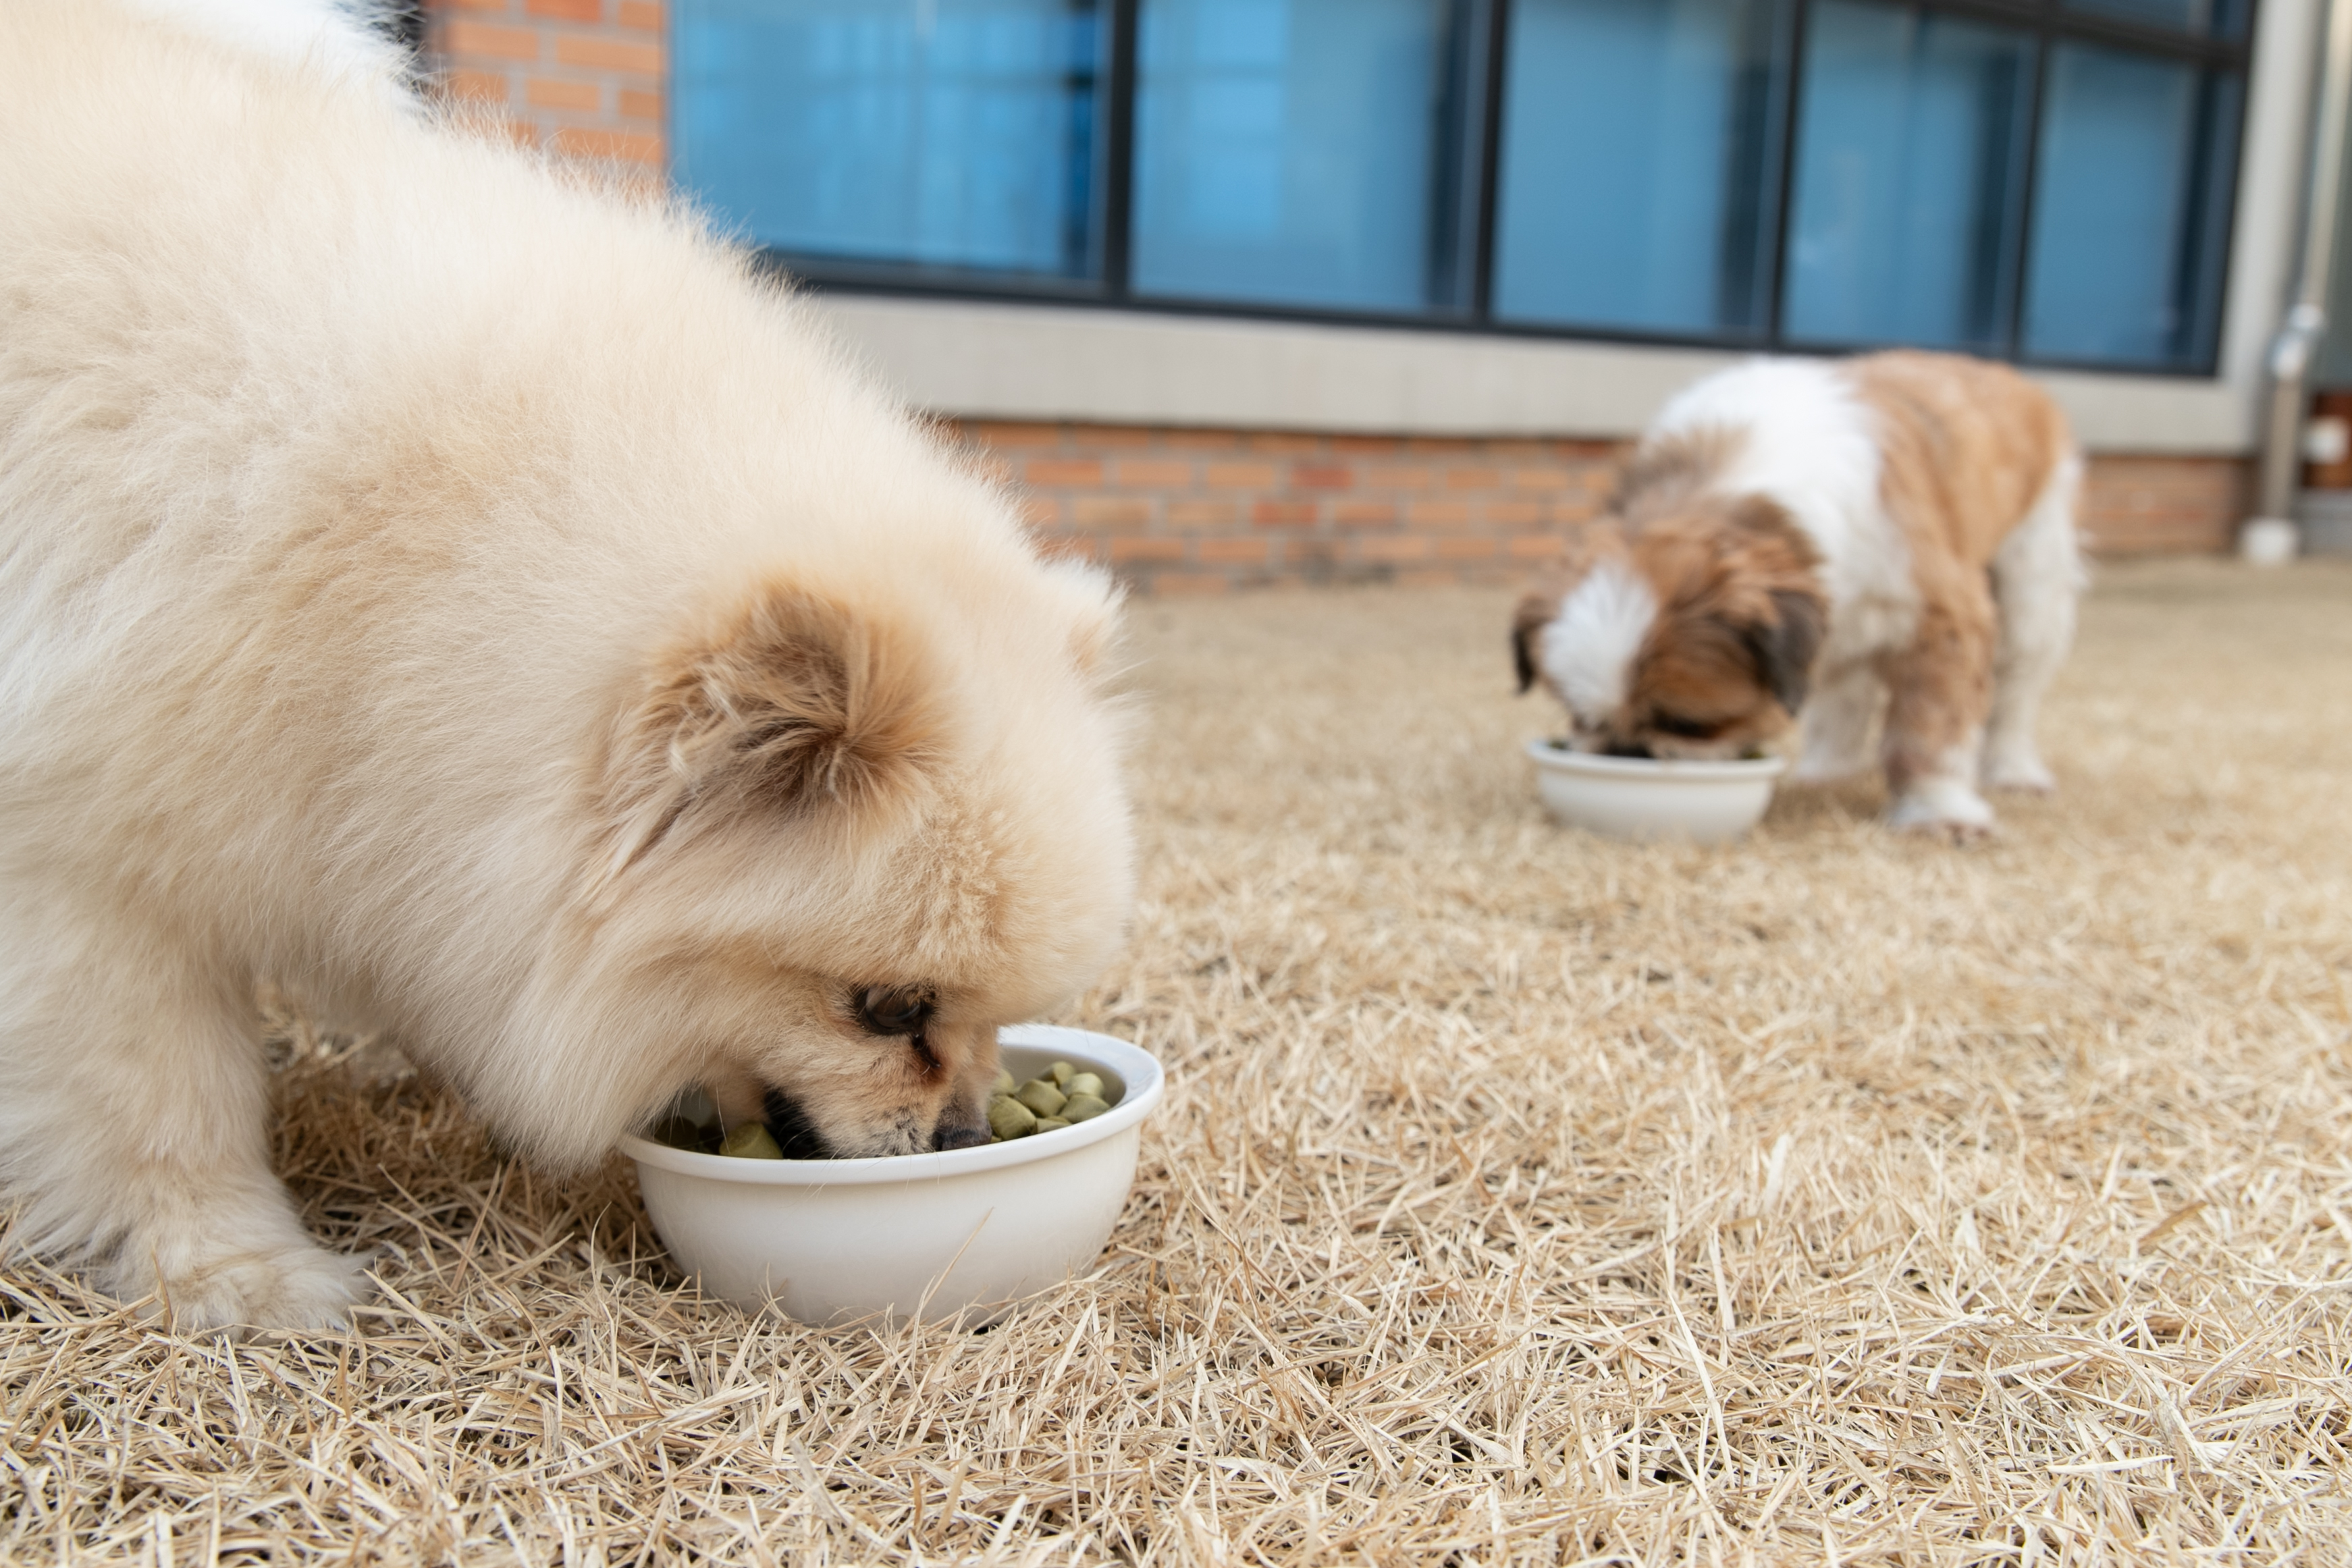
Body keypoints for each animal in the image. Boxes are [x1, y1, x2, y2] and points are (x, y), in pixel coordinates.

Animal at [1505, 350, 2079, 841]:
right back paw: (1830, 769)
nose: (1628, 751)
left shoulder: (1939, 619)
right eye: (1583, 719)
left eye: (1692, 725)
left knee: (2017, 685)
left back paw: (2013, 768)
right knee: (1848, 688)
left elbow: (1929, 728)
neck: (1735, 480)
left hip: (2033, 580)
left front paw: (1938, 808)